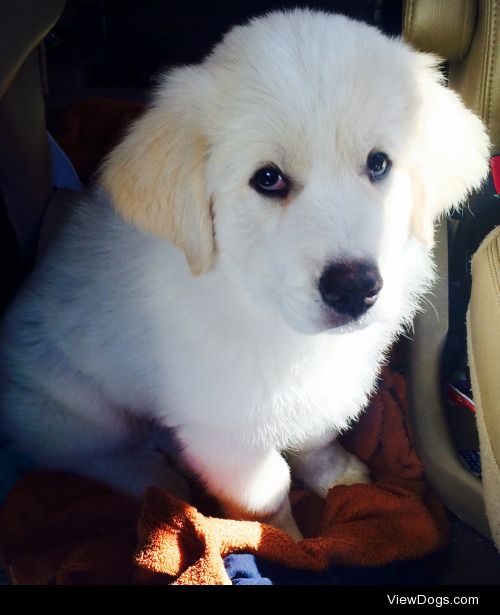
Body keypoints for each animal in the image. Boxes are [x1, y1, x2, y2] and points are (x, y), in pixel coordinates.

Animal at [0, 10, 488, 540]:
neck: (261, 309)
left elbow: (315, 437)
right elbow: (267, 489)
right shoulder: (223, 431)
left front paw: (337, 474)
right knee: (97, 456)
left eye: (379, 163)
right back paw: (154, 476)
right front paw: (282, 541)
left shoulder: (316, 388)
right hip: (72, 410)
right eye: (268, 179)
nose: (355, 289)